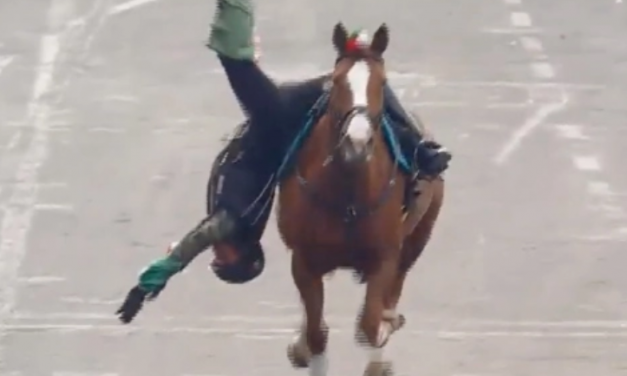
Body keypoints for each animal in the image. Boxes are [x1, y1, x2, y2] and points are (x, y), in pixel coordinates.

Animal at [276, 22, 446, 376]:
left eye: (381, 82)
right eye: (337, 80)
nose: (356, 143)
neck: (348, 193)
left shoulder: (384, 256)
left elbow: (369, 325)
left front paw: (379, 340)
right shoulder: (304, 259)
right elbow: (316, 333)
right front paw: (305, 345)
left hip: (419, 234)